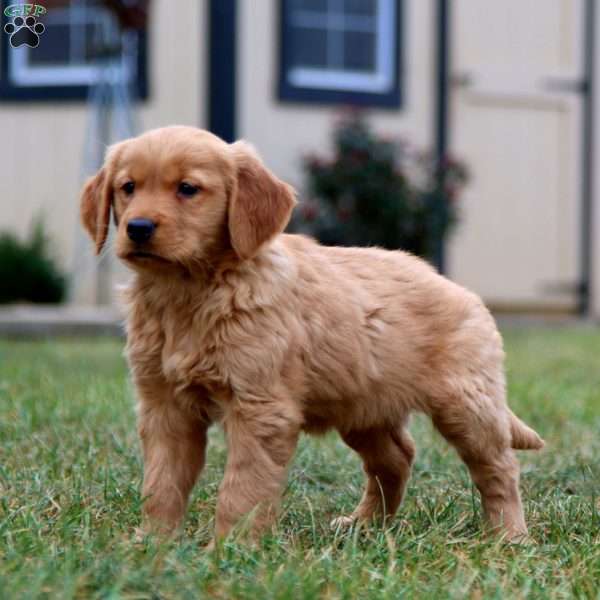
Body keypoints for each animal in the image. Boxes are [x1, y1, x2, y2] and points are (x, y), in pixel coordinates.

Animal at [79, 125, 544, 544]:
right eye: (127, 187)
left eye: (188, 189)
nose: (138, 227)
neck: (189, 293)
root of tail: (463, 291)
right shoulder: (164, 406)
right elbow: (161, 481)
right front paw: (151, 543)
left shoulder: (260, 408)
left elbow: (241, 490)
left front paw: (228, 550)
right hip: (363, 407)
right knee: (395, 459)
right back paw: (365, 525)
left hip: (465, 404)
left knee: (498, 467)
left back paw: (509, 536)